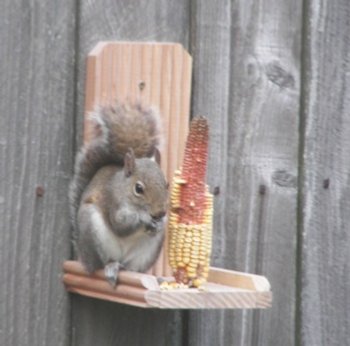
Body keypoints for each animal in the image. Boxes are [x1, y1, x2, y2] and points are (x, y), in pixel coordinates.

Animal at [69, 101, 169, 286]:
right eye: (138, 189)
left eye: (167, 184)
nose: (160, 213)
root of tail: (84, 258)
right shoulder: (112, 201)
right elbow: (120, 225)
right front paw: (144, 219)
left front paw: (159, 224)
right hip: (92, 231)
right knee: (102, 264)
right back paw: (111, 267)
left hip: (144, 255)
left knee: (132, 269)